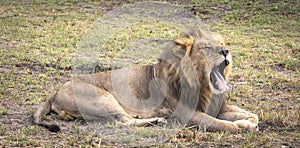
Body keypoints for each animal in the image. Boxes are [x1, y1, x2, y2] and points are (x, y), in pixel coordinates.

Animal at [33, 28, 258, 133]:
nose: (226, 51)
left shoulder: (216, 107)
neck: (204, 87)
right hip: (103, 99)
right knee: (121, 121)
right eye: (206, 48)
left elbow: (252, 115)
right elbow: (220, 124)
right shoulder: (185, 113)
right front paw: (241, 126)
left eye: (222, 43)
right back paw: (156, 120)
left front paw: (249, 122)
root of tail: (54, 93)